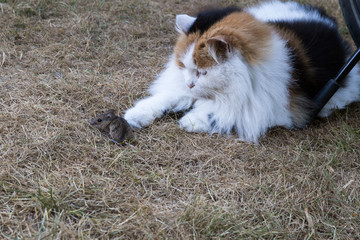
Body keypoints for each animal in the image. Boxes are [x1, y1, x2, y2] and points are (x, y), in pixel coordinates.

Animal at [124, 0, 360, 142]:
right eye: (183, 66)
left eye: (202, 72)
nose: (190, 83)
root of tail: (328, 21)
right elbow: (163, 98)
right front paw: (134, 115)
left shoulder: (273, 109)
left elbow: (221, 112)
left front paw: (190, 120)